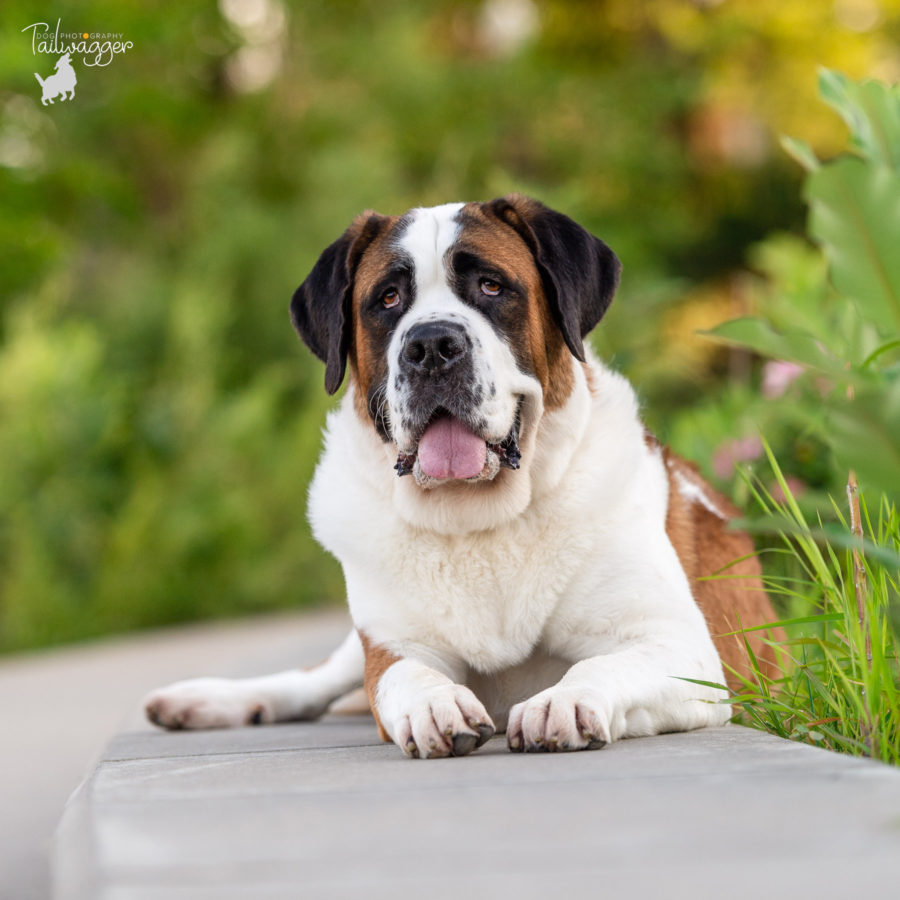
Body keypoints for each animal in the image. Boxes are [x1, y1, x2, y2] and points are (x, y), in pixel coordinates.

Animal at [142, 193, 780, 756]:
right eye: (388, 298)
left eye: (492, 287)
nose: (430, 345)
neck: (477, 522)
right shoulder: (393, 644)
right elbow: (402, 676)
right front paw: (434, 705)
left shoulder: (682, 648)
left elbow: (608, 661)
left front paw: (565, 701)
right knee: (314, 678)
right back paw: (203, 701)